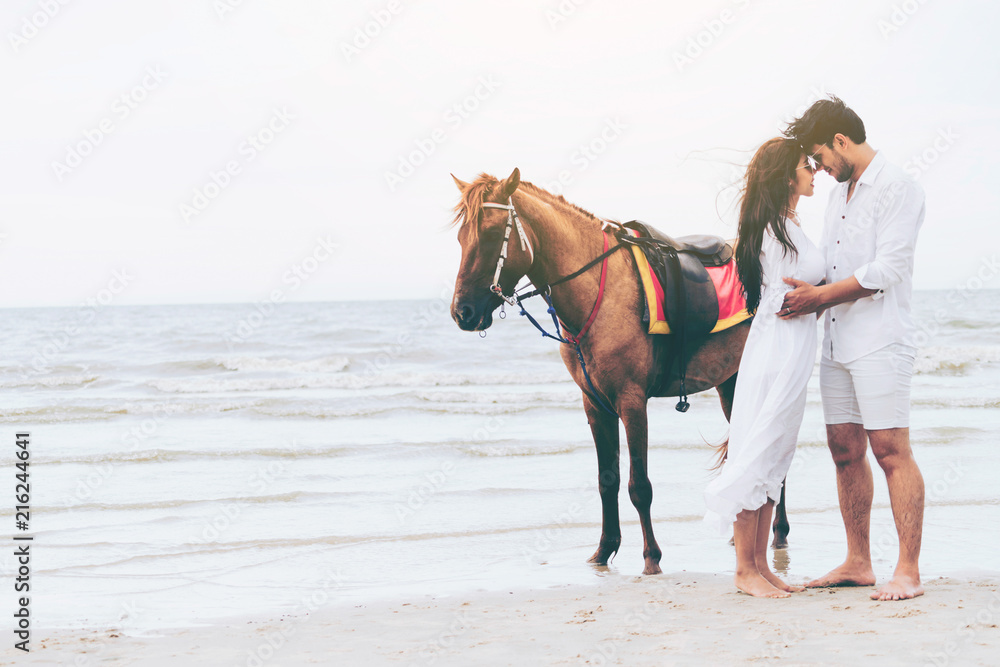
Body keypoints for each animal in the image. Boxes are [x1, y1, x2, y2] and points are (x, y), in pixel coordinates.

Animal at [448, 168, 788, 576]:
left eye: (490, 234)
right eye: (461, 238)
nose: (463, 312)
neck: (600, 290)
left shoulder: (631, 401)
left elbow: (639, 486)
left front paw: (651, 557)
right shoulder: (595, 405)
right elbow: (605, 482)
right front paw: (604, 549)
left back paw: (778, 533)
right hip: (730, 384)